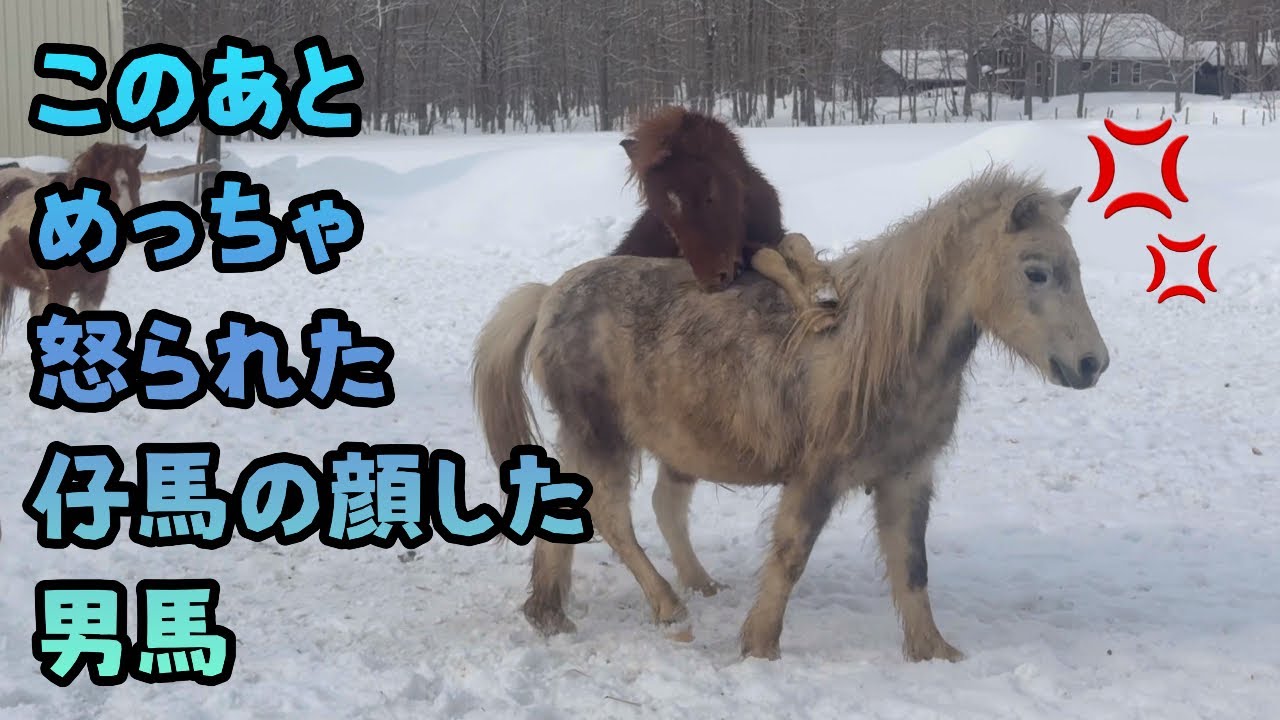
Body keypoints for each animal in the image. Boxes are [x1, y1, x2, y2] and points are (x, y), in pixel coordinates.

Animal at [472, 166, 1109, 662]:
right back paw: (666, 604)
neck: (877, 347)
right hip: (599, 434)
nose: (1092, 364)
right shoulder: (815, 477)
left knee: (650, 507)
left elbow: (912, 567)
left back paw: (568, 609)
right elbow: (790, 557)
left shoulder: (907, 477)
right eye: (1036, 271)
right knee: (611, 515)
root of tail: (549, 295)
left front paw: (933, 652)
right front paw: (759, 646)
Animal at [611, 106, 837, 323]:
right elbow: (767, 257)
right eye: (663, 217)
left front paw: (824, 291)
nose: (711, 282)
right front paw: (815, 315)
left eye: (709, 195)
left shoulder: (774, 234)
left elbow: (797, 240)